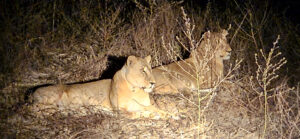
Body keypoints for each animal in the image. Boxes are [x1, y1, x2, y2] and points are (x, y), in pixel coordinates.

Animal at [32, 55, 171, 118]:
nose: (153, 83)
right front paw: (148, 114)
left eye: (150, 70)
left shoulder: (145, 104)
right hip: (53, 95)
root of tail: (32, 93)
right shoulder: (119, 109)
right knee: (34, 108)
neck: (136, 90)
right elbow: (135, 113)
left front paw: (167, 113)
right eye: (142, 71)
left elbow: (154, 108)